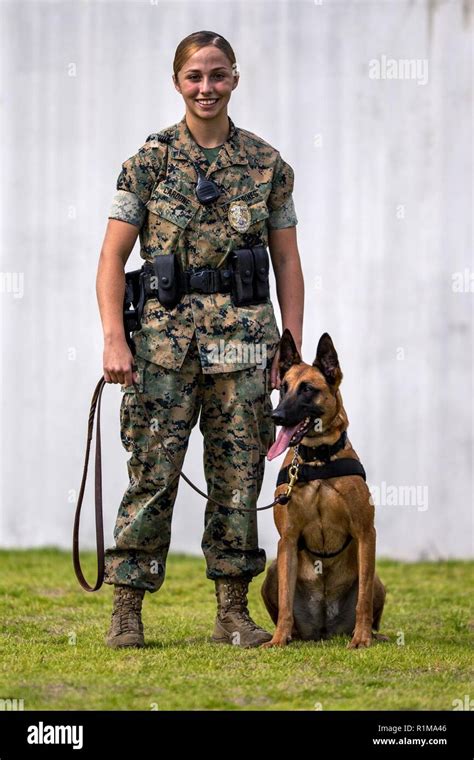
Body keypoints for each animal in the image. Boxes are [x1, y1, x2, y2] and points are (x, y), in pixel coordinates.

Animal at [262, 330, 386, 652]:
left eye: (307, 389)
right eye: (283, 388)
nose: (275, 416)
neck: (317, 458)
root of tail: (324, 629)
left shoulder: (366, 533)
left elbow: (363, 600)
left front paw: (362, 638)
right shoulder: (287, 539)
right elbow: (285, 604)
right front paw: (278, 639)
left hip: (378, 579)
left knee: (370, 599)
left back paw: (374, 634)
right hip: (272, 570)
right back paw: (290, 634)